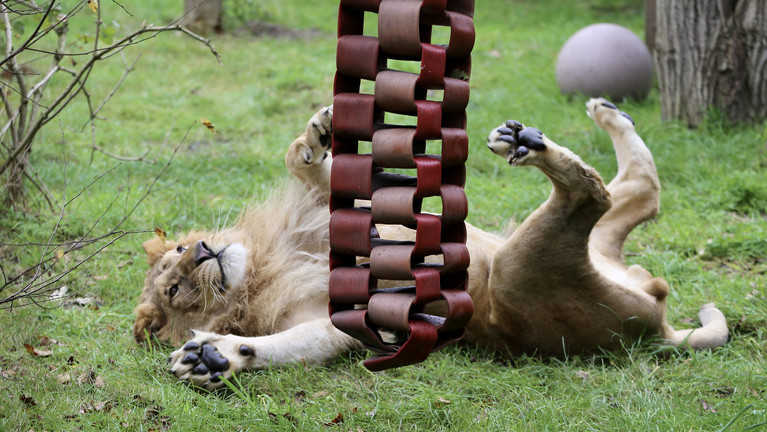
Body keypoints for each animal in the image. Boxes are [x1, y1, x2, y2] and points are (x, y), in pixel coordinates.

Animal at [134, 99, 729, 389]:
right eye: (175, 288)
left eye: (183, 253)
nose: (203, 252)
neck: (263, 268)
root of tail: (656, 321)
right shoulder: (347, 321)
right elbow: (299, 341)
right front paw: (216, 358)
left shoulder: (334, 218)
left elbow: (306, 168)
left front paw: (318, 137)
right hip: (518, 268)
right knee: (593, 193)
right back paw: (527, 145)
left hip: (594, 237)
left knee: (643, 188)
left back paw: (585, 118)